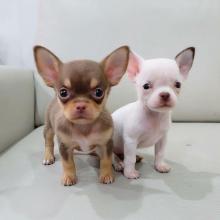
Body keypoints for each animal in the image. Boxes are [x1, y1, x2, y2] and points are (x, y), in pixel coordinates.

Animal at [33, 46, 130, 186]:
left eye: (99, 92)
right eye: (63, 93)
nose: (80, 105)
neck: (84, 126)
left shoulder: (106, 144)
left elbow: (106, 160)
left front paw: (106, 175)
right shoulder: (65, 146)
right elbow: (68, 163)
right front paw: (69, 176)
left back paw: (117, 162)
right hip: (49, 128)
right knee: (48, 141)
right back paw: (48, 156)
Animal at [112, 46, 195, 179]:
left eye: (178, 84)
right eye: (146, 86)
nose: (165, 94)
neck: (155, 115)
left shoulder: (162, 139)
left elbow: (160, 153)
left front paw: (160, 166)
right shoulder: (130, 141)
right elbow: (130, 159)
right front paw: (130, 173)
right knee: (111, 155)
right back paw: (118, 163)